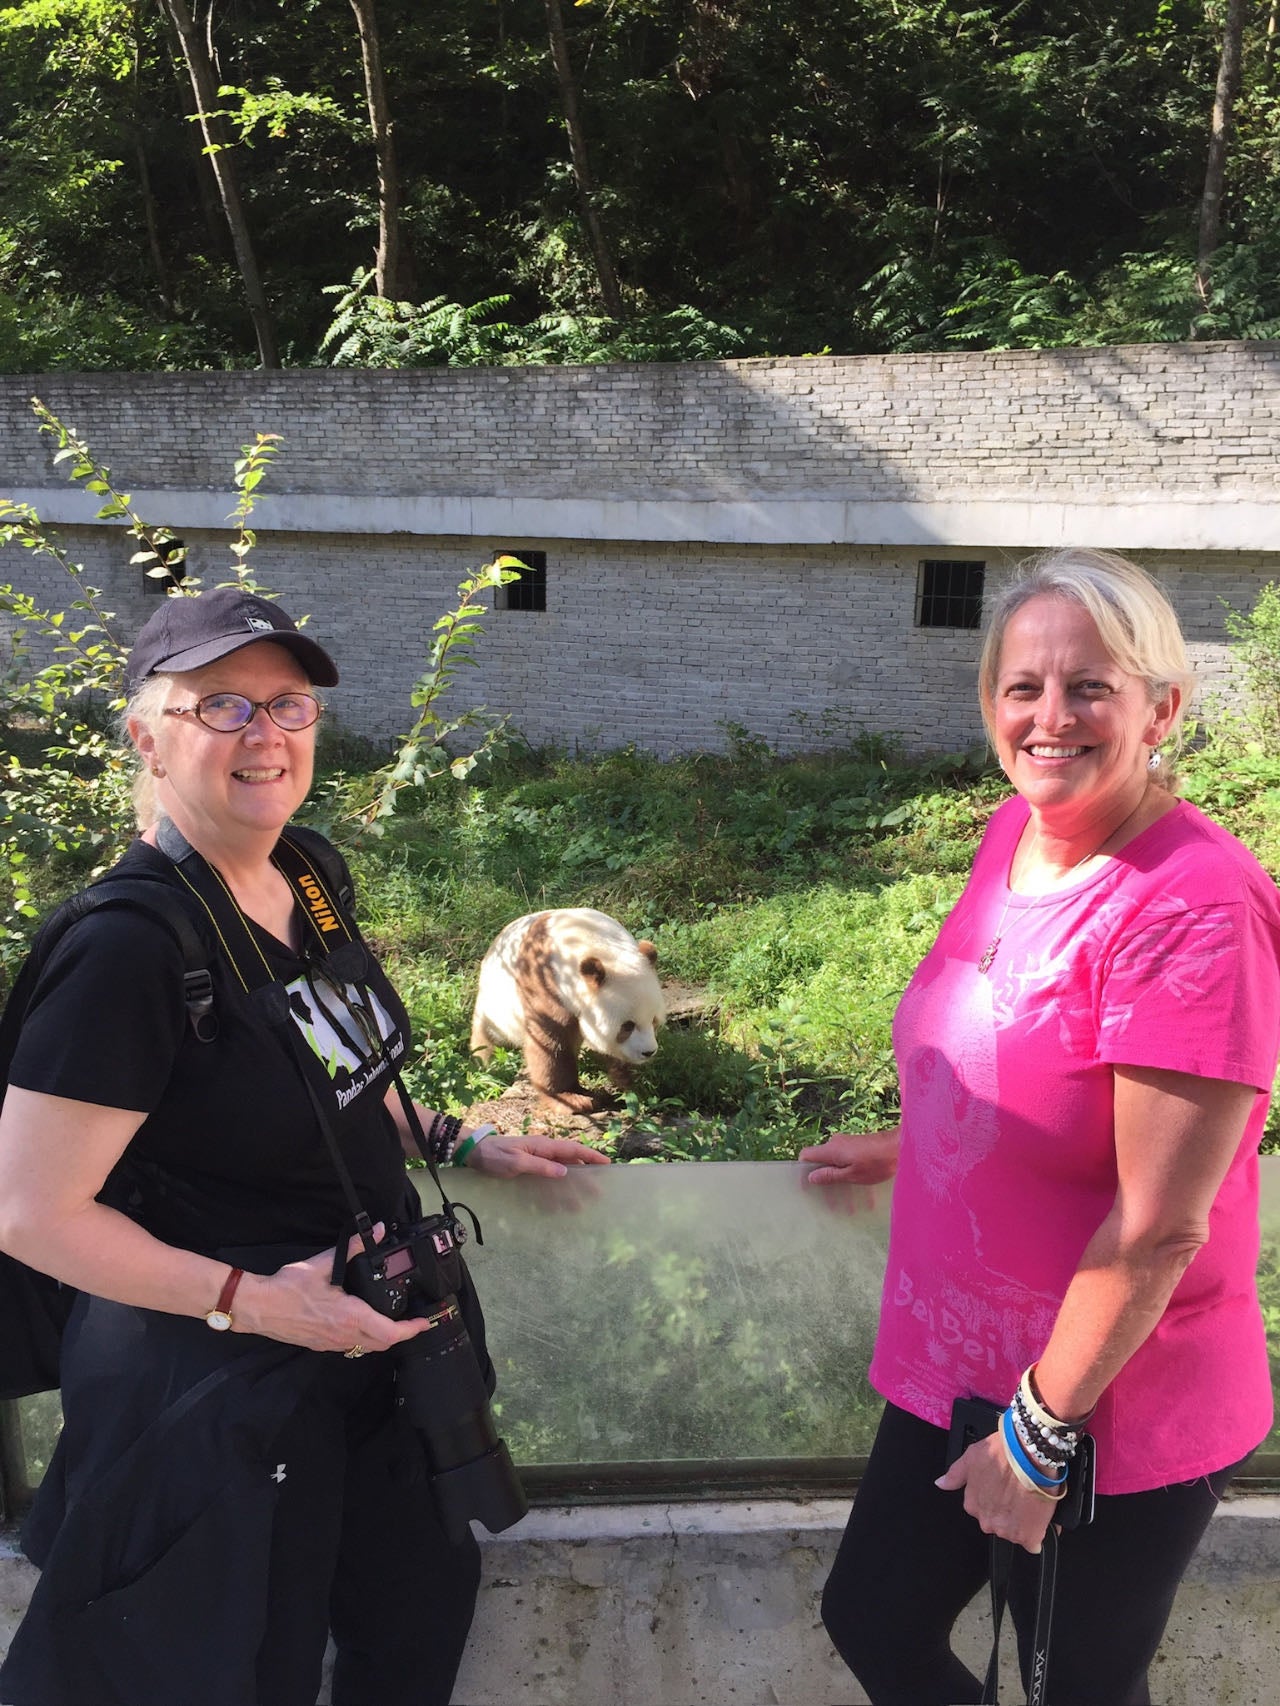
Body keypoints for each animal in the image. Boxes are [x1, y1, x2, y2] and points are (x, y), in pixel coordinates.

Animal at [474, 914, 672, 1112]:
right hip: (496, 1008)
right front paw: (572, 1098)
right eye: (627, 1026)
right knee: (485, 1040)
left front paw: (634, 1085)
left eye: (654, 1020)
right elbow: (550, 1041)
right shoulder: (544, 982)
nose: (649, 1052)